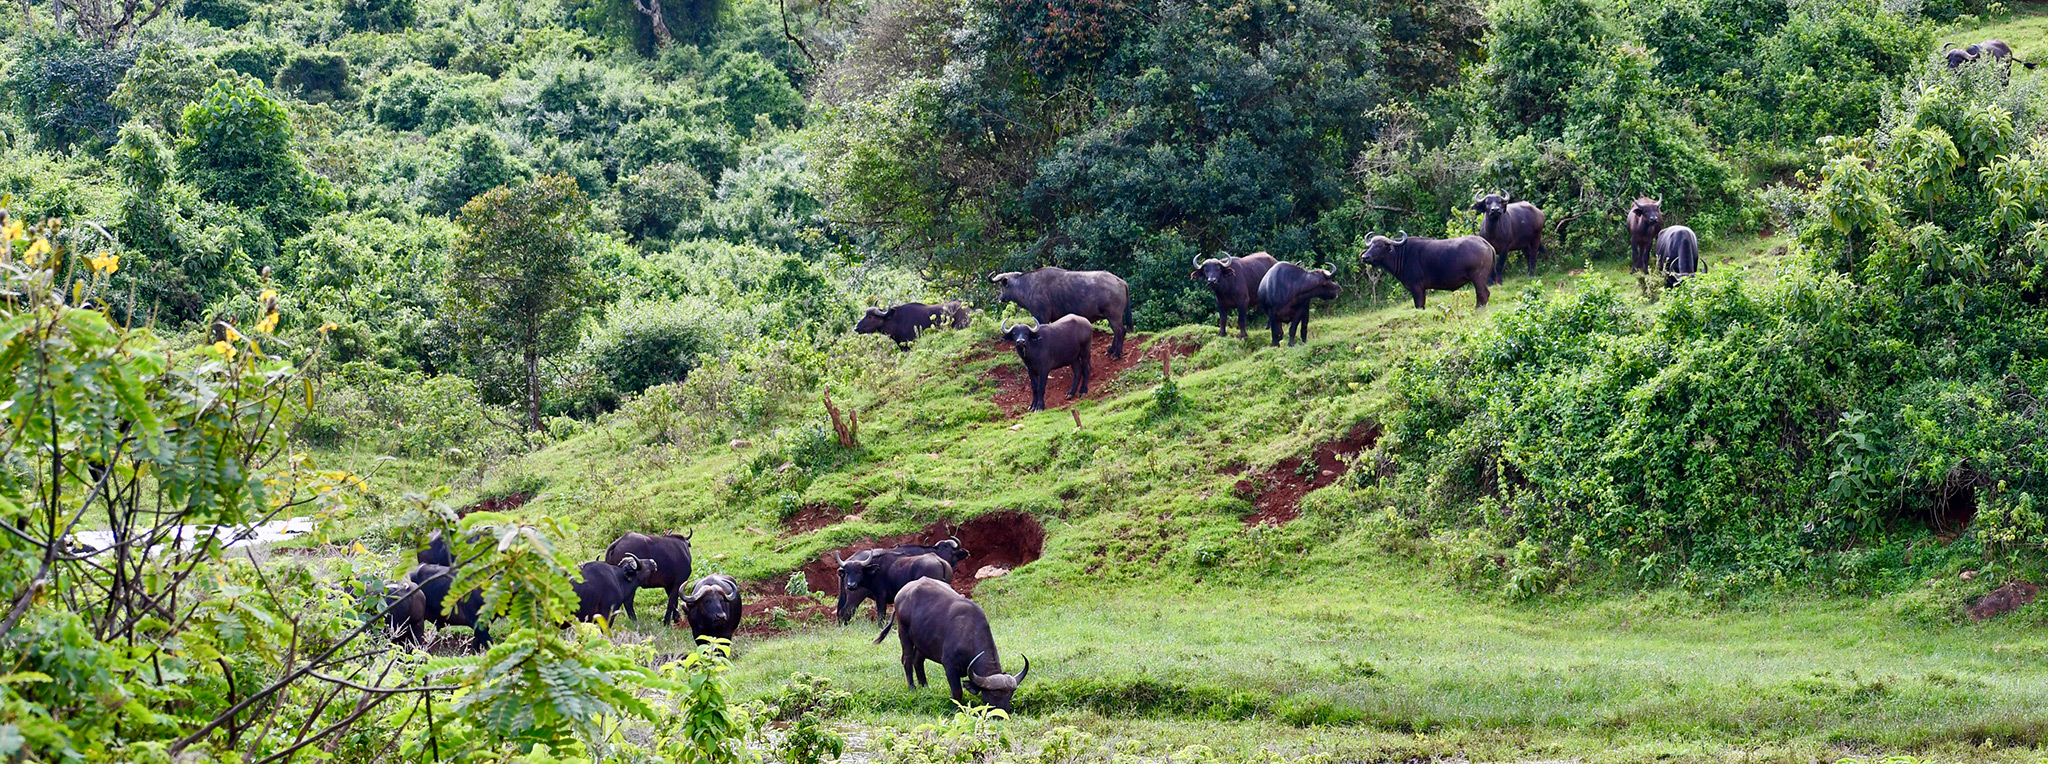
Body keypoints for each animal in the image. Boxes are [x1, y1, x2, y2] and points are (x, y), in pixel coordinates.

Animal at [873, 578, 1030, 712]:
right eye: (995, 695)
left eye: (1010, 694)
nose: (1003, 713)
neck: (969, 634)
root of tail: (901, 593)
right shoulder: (950, 666)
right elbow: (957, 691)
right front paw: (956, 709)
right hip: (904, 633)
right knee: (907, 660)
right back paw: (912, 687)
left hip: (923, 642)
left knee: (918, 661)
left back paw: (925, 686)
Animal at [990, 268, 1133, 359]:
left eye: (1002, 286)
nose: (1001, 298)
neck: (1027, 286)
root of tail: (1120, 281)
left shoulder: (1041, 316)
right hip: (1112, 317)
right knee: (1117, 332)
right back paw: (1110, 350)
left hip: (1114, 316)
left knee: (1120, 331)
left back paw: (1116, 354)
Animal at [1358, 231, 1497, 309]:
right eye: (1370, 245)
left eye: (1379, 246)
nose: (1365, 257)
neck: (1403, 254)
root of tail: (1486, 243)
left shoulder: (1417, 287)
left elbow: (1419, 305)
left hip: (1478, 278)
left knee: (1483, 294)